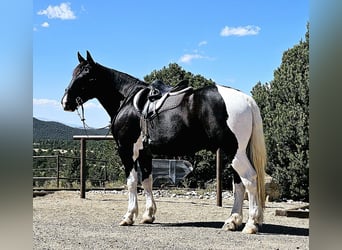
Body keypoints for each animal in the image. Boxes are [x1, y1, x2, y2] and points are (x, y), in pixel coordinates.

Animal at [62, 51, 268, 234]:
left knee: (250, 179)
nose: (65, 102)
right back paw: (233, 221)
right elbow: (147, 181)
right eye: (74, 73)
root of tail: (246, 99)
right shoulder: (144, 152)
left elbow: (131, 181)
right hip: (233, 153)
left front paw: (129, 216)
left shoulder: (127, 150)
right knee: (239, 184)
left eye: (86, 74)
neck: (127, 100)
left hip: (234, 152)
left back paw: (251, 224)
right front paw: (148, 215)